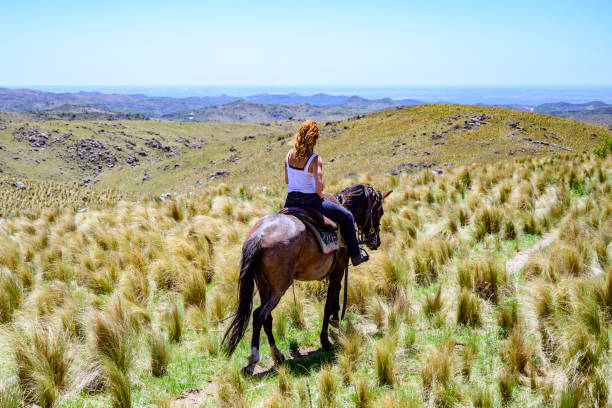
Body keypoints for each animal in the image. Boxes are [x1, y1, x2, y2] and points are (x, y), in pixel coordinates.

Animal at [222, 183, 390, 374]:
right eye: (380, 211)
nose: (376, 241)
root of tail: (259, 235)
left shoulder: (335, 271)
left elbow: (335, 293)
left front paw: (334, 320)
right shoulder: (339, 268)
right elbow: (329, 301)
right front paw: (325, 339)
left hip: (263, 284)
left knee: (267, 318)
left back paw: (277, 355)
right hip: (280, 287)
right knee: (259, 315)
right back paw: (253, 360)